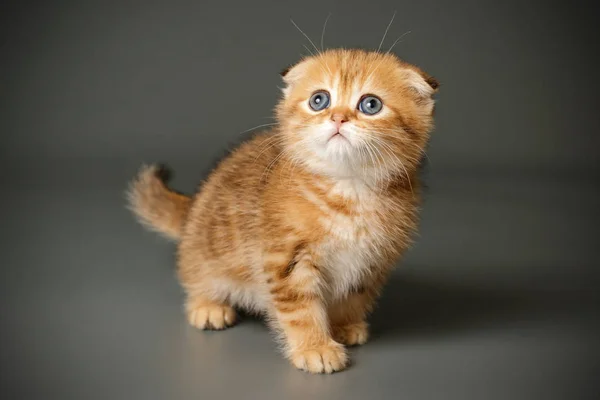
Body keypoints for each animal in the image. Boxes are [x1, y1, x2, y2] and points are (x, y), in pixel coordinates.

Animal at [127, 48, 436, 374]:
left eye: (371, 104)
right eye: (319, 100)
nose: (338, 117)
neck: (348, 188)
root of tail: (193, 208)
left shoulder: (373, 260)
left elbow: (354, 295)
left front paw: (344, 325)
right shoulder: (287, 257)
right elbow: (300, 308)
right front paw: (315, 347)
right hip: (206, 252)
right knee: (196, 275)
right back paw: (208, 305)